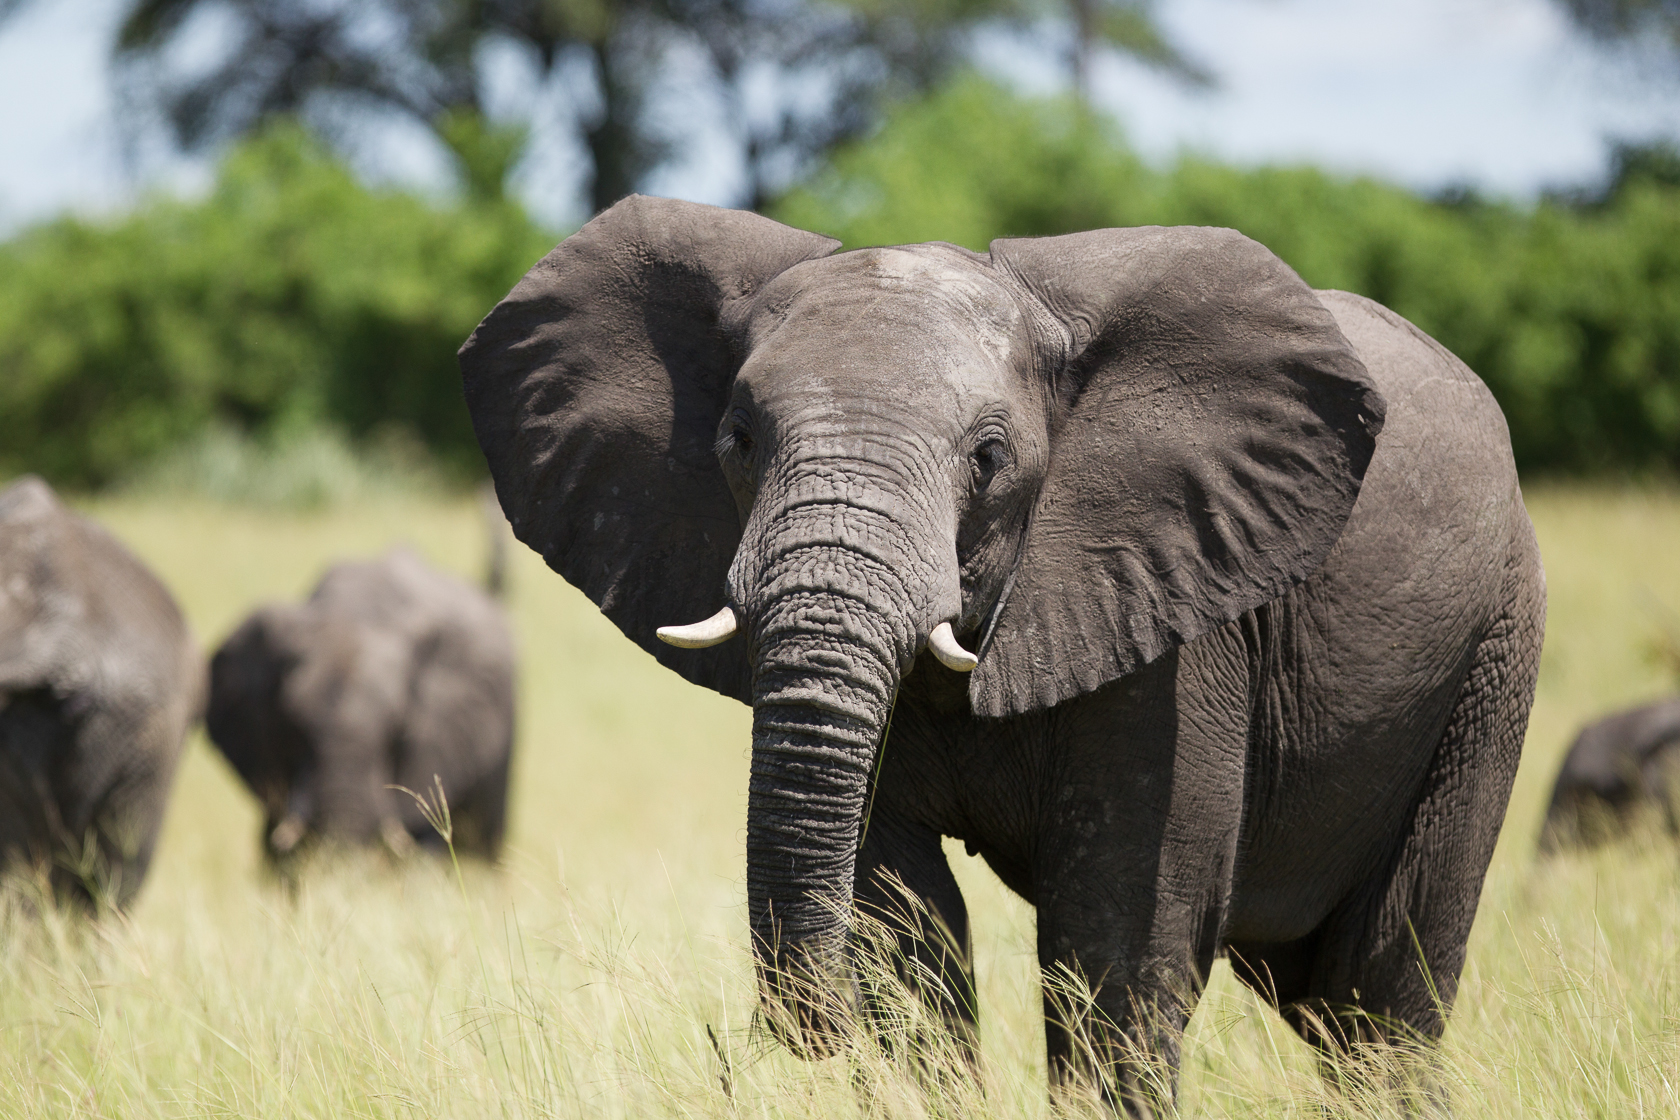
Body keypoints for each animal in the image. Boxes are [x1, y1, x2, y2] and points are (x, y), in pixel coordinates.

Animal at [458, 196, 1546, 1108]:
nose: (789, 1031)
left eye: (987, 458)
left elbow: (1119, 933)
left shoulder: (1181, 622)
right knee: (1326, 997)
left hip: (1492, 653)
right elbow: (902, 925)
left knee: (1384, 983)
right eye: (737, 439)